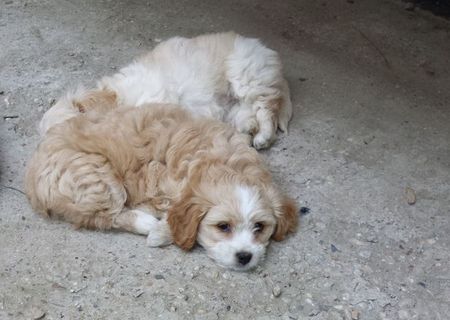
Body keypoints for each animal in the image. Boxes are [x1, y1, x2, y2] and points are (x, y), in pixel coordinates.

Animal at [25, 104, 298, 268]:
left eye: (259, 227)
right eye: (223, 227)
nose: (244, 257)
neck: (224, 165)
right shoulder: (162, 183)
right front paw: (161, 232)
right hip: (95, 177)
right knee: (104, 215)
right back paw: (146, 222)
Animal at [37, 31, 292, 149]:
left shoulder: (155, 97)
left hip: (246, 75)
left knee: (267, 109)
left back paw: (263, 137)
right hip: (235, 106)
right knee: (249, 115)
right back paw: (249, 131)